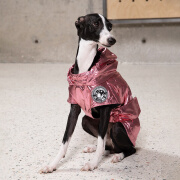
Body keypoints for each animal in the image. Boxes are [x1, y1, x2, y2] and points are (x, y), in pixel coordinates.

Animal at [39, 13, 141, 173]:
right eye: (95, 23)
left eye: (110, 26)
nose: (112, 39)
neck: (86, 68)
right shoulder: (74, 109)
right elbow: (65, 141)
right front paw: (52, 165)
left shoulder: (106, 107)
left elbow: (100, 142)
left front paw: (93, 164)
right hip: (85, 121)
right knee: (108, 145)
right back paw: (93, 148)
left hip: (118, 127)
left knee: (128, 148)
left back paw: (118, 156)